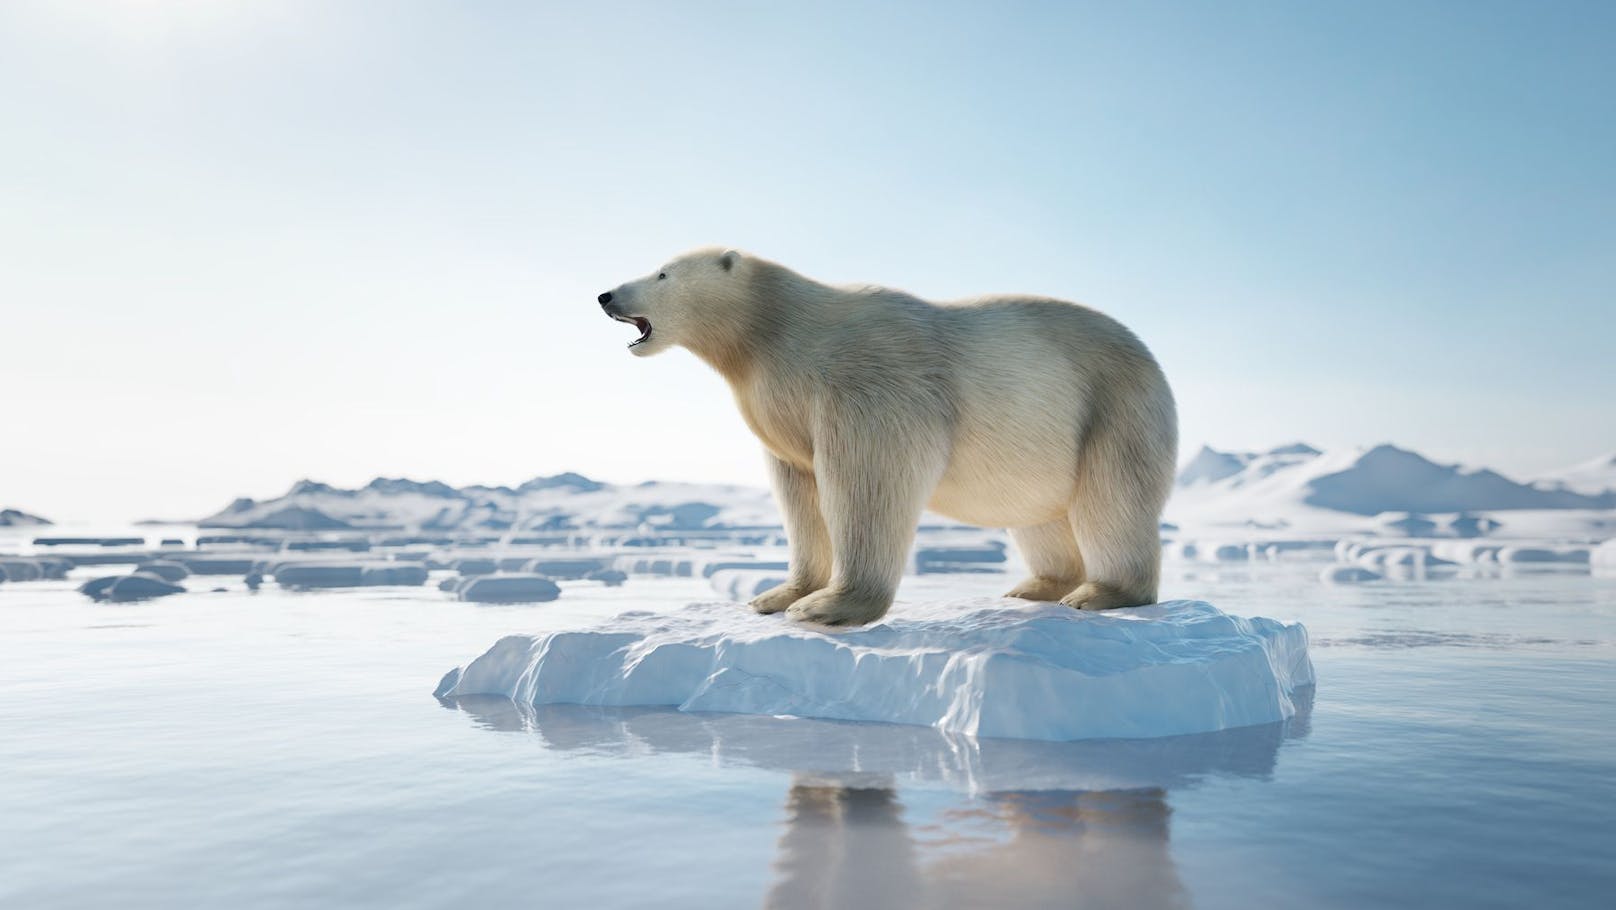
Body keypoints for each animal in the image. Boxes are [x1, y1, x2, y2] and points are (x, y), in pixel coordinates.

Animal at [601, 248, 1182, 627]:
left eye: (662, 272)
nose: (606, 294)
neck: (774, 331)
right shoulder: (782, 410)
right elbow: (799, 492)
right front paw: (776, 595)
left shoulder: (868, 381)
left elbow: (869, 479)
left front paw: (826, 607)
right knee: (1040, 515)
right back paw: (1035, 586)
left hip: (1114, 408)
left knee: (1111, 501)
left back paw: (1098, 593)